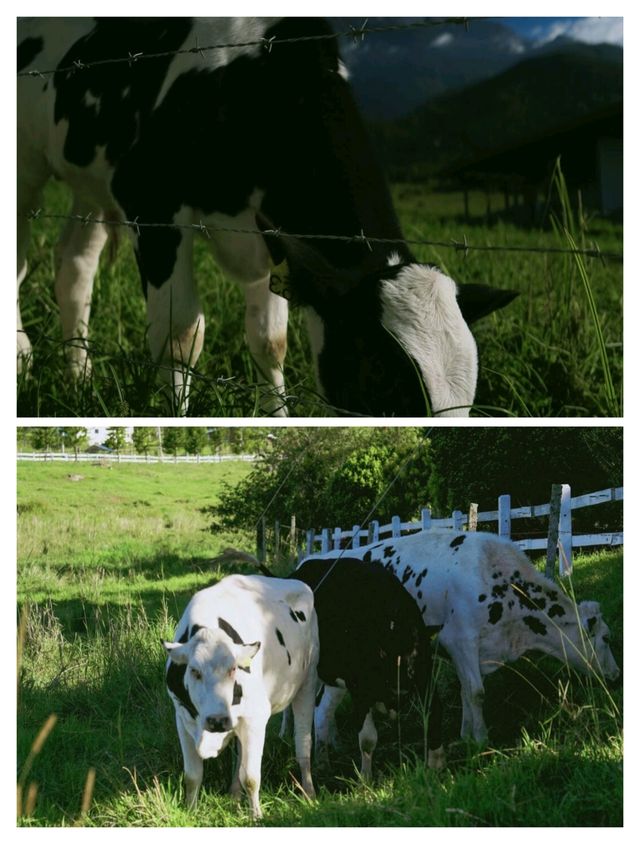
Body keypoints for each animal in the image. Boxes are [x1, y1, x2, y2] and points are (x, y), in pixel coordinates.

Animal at [16, 18, 516, 418]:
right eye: (380, 375)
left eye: (468, 398)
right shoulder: (152, 202)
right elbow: (179, 337)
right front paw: (175, 419)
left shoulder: (273, 235)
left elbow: (269, 342)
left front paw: (277, 422)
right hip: (27, 167)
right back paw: (23, 361)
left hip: (90, 180)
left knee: (74, 268)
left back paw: (79, 380)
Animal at [162, 572, 318, 816]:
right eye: (194, 671)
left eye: (233, 668)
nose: (217, 720)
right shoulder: (182, 717)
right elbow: (192, 775)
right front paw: (191, 812)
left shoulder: (256, 718)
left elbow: (251, 777)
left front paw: (257, 816)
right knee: (239, 754)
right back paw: (234, 793)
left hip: (308, 682)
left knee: (303, 744)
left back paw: (309, 792)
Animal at [292, 556, 444, 780]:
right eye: (381, 652)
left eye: (417, 651)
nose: (400, 689)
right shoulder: (359, 688)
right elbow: (367, 738)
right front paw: (366, 778)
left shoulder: (424, 676)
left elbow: (435, 711)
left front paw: (436, 764)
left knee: (322, 709)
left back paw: (322, 760)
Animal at [304, 532, 620, 740]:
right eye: (605, 638)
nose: (617, 676)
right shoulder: (459, 640)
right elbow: (476, 692)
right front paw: (481, 740)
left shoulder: (466, 652)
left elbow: (467, 692)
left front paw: (467, 736)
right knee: (320, 708)